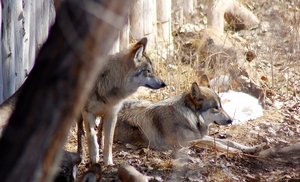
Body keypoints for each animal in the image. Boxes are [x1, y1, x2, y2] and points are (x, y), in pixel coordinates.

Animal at [81, 37, 166, 165]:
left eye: (152, 70)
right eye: (148, 71)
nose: (163, 84)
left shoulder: (112, 114)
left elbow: (109, 141)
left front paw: (108, 163)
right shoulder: (88, 112)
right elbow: (91, 135)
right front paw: (94, 158)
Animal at [114, 75, 264, 154]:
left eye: (221, 106)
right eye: (216, 108)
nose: (231, 120)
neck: (191, 117)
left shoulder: (198, 136)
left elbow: (228, 141)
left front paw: (252, 148)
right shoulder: (182, 143)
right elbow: (214, 143)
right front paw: (235, 152)